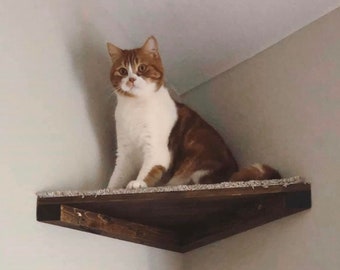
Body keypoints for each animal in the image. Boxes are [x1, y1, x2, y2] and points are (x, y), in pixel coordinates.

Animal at [105, 35, 278, 189]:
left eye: (141, 68)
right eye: (122, 71)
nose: (131, 79)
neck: (135, 106)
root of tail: (231, 173)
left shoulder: (156, 149)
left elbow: (147, 169)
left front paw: (138, 182)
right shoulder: (124, 151)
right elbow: (116, 176)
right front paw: (108, 189)